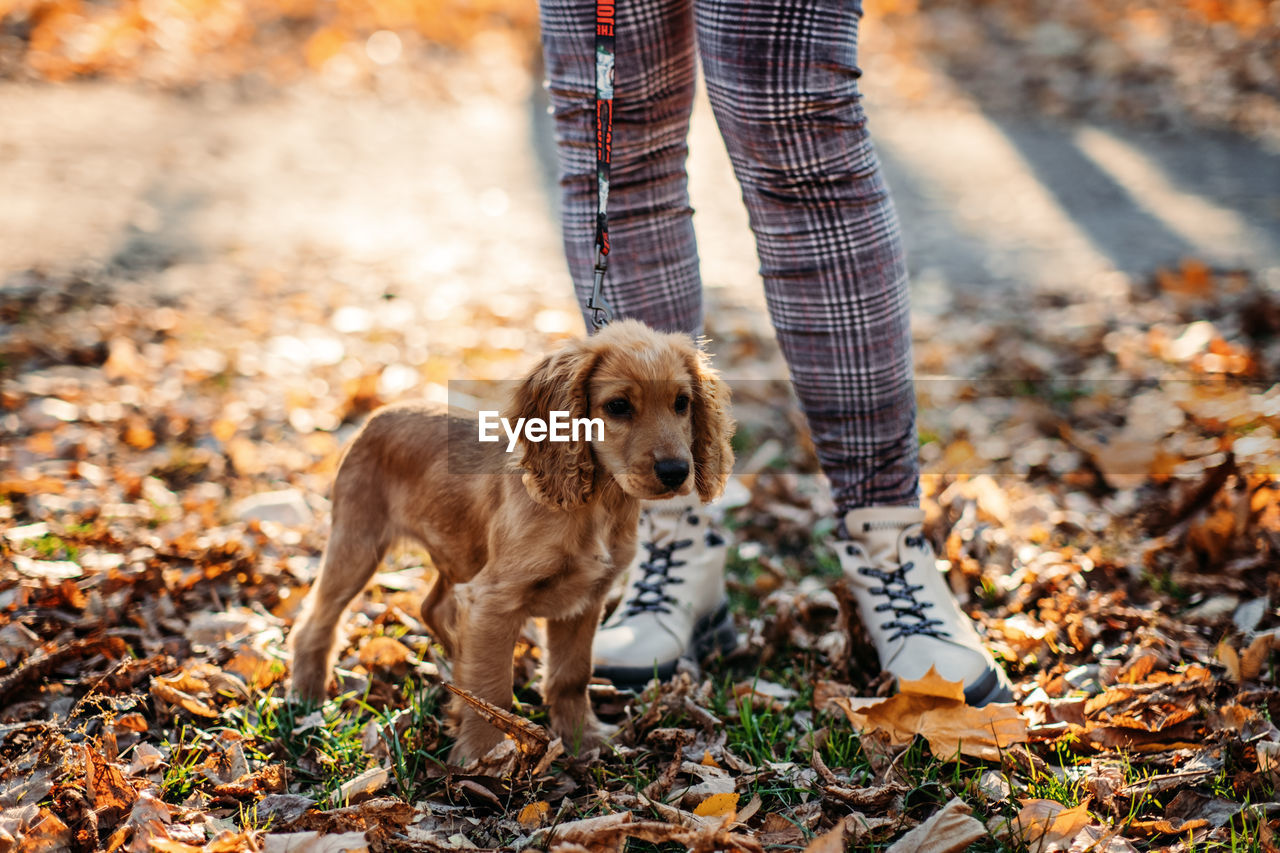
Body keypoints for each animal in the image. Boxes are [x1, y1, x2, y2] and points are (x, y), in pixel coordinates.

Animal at [288, 318, 732, 758]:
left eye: (681, 403)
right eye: (618, 406)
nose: (676, 472)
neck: (597, 505)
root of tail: (377, 415)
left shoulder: (585, 600)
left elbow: (571, 676)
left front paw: (582, 741)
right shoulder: (494, 598)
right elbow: (490, 690)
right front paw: (484, 757)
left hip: (458, 551)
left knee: (434, 608)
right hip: (358, 544)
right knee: (318, 620)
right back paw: (307, 697)